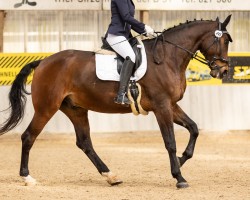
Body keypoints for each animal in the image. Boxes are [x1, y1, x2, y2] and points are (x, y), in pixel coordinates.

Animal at [0, 15, 232, 188]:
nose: (223, 71)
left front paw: (182, 161)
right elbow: (170, 142)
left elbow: (194, 128)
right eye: (224, 40)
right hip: (46, 108)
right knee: (28, 137)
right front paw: (179, 177)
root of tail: (43, 61)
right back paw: (27, 177)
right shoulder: (162, 106)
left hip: (76, 109)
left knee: (84, 143)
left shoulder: (171, 105)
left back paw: (111, 176)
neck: (168, 57)